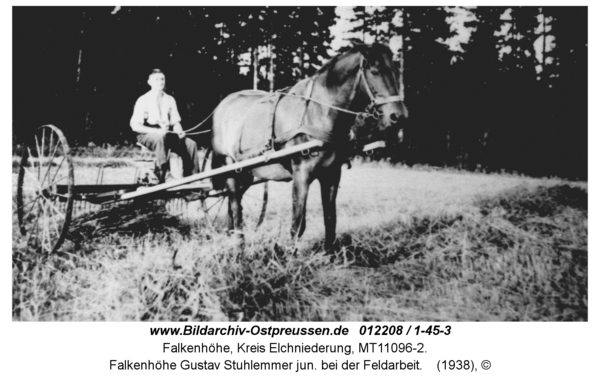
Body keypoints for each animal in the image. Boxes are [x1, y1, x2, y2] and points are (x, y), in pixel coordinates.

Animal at [210, 42, 408, 249]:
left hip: (246, 173)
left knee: (233, 201)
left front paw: (329, 252)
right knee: (234, 204)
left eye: (396, 71)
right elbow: (297, 225)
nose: (399, 116)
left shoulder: (332, 174)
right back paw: (239, 245)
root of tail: (222, 105)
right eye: (375, 71)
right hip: (228, 166)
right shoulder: (301, 174)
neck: (318, 113)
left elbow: (330, 220)